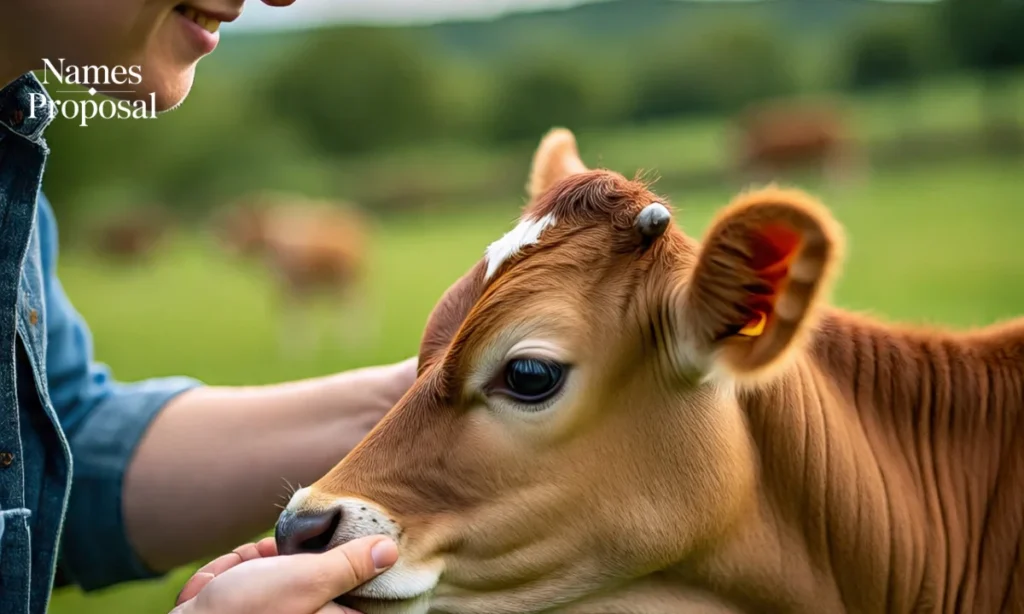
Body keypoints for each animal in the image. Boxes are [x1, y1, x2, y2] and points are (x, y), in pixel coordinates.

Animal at [210, 194, 376, 355]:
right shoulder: (286, 285)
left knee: (355, 307)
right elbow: (289, 313)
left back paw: (356, 344)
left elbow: (296, 315)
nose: (222, 252)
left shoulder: (296, 283)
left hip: (350, 279)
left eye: (238, 227)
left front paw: (298, 351)